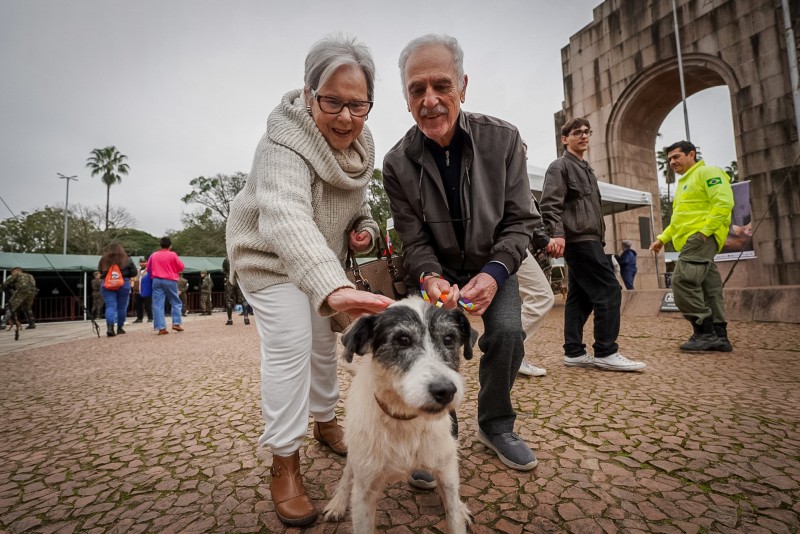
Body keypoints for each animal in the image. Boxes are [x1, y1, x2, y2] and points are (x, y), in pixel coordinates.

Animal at [324, 300, 476, 532]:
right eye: (402, 340)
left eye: (449, 339)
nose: (446, 391)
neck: (406, 420)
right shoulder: (364, 492)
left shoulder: (447, 474)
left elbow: (454, 518)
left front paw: (458, 509)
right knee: (348, 472)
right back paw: (338, 503)